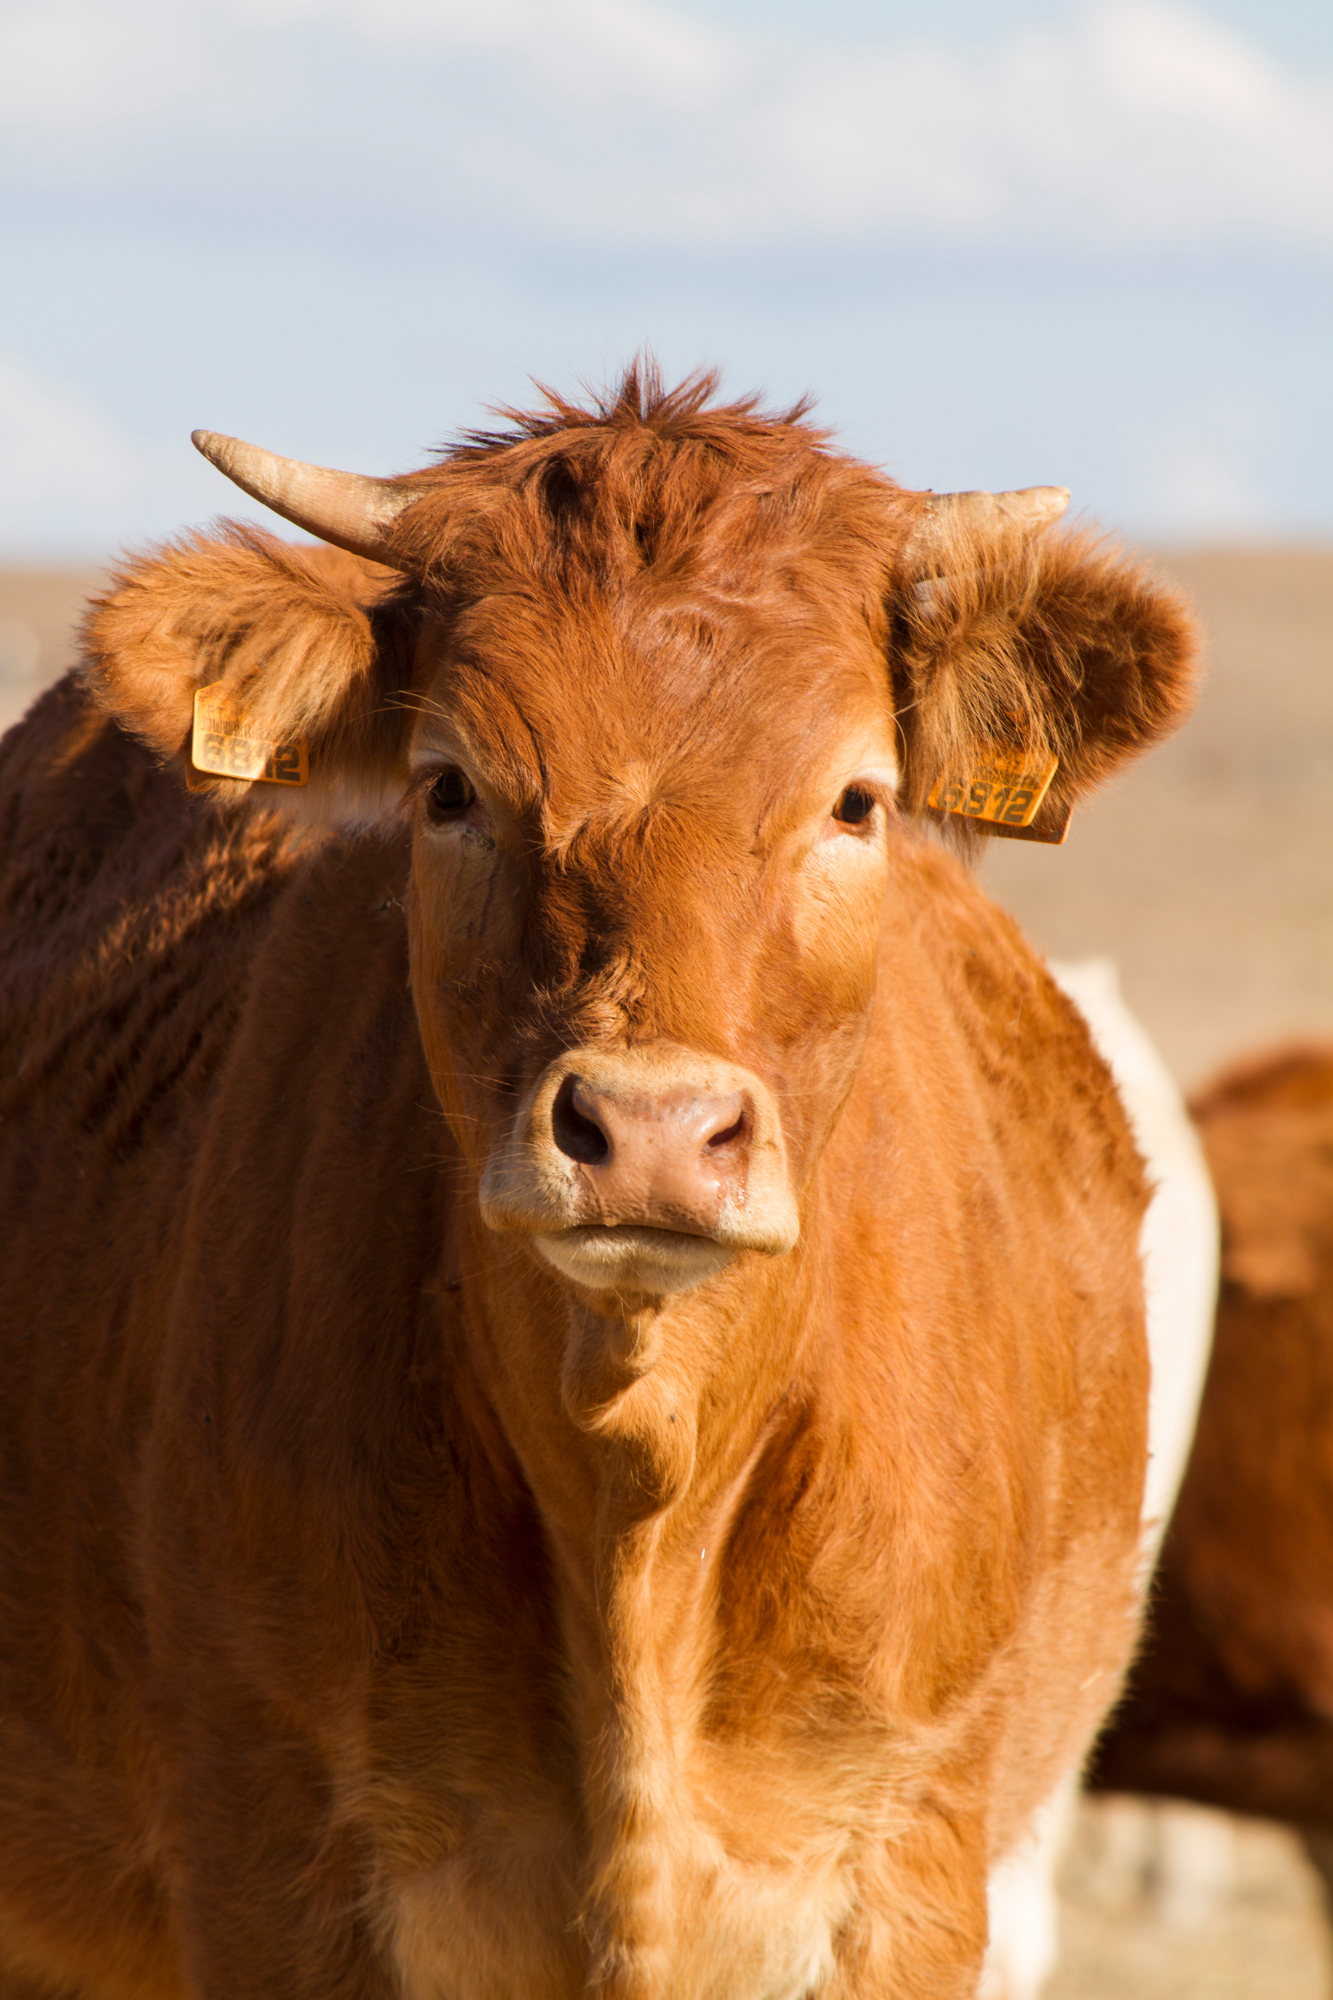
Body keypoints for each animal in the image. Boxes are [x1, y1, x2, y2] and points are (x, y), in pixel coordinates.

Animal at [0, 365, 1201, 2000]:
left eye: (856, 799)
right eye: (449, 788)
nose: (649, 1129)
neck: (639, 1526)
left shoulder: (914, 1867)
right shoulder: (266, 1855)